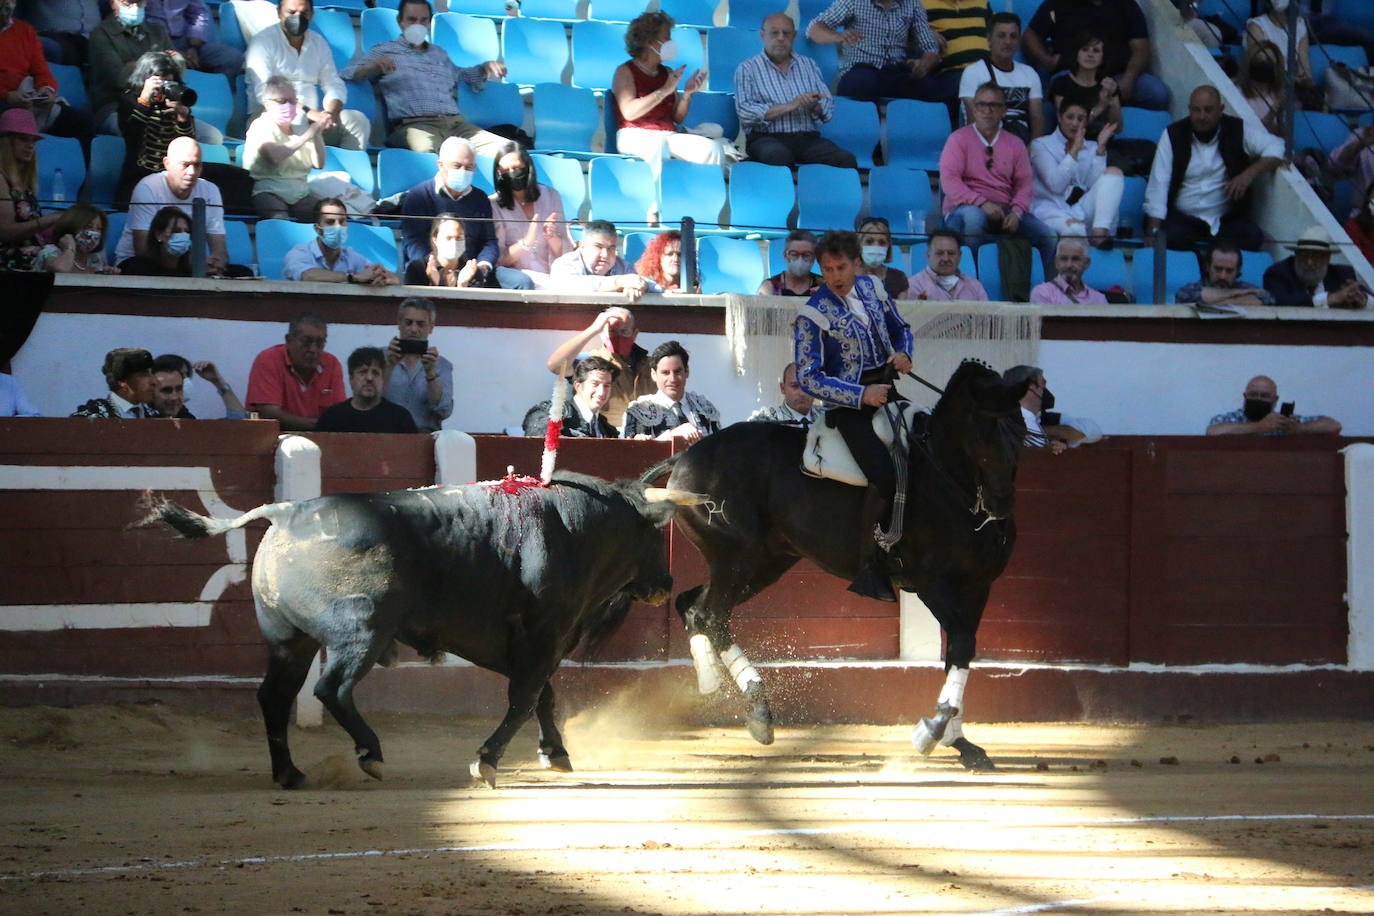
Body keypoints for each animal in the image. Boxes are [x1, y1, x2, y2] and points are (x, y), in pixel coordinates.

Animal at [139, 472, 703, 791]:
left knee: (275, 698)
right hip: (360, 634)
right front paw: (487, 762)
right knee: (330, 689)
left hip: (288, 642)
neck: (578, 528)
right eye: (655, 534)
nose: (666, 582)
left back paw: (290, 774)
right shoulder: (544, 632)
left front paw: (556, 754)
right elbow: (525, 697)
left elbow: (541, 694)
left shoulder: (506, 642)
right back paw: (370, 754)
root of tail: (286, 511)